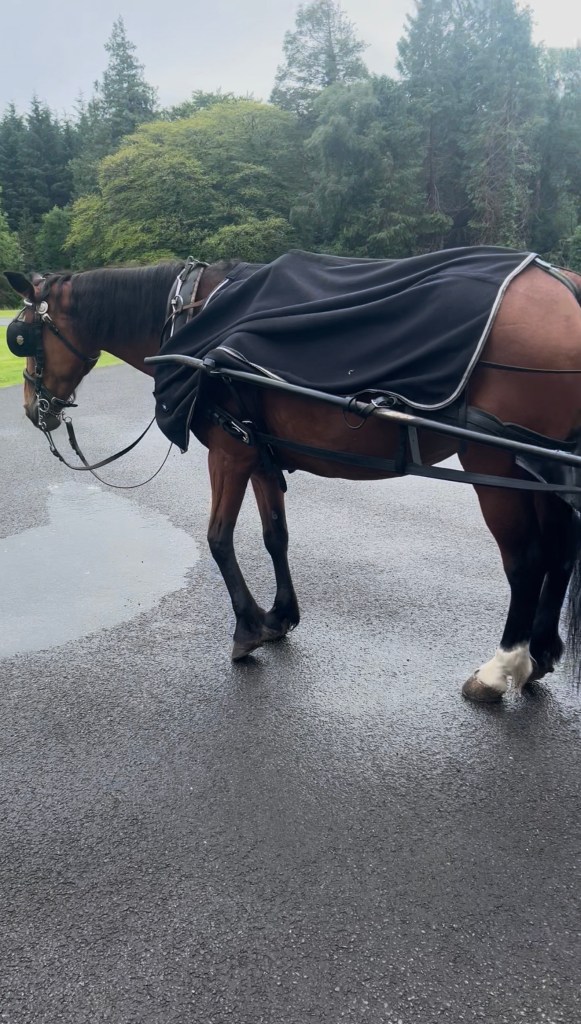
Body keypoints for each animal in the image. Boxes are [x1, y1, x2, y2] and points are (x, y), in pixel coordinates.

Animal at [4, 252, 581, 703]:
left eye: (21, 335)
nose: (33, 408)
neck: (193, 319)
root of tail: (561, 284)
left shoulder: (229, 452)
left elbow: (218, 538)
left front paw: (247, 627)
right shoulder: (258, 452)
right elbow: (274, 535)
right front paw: (280, 616)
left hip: (494, 463)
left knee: (527, 560)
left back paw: (501, 668)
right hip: (539, 470)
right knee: (560, 551)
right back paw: (541, 652)